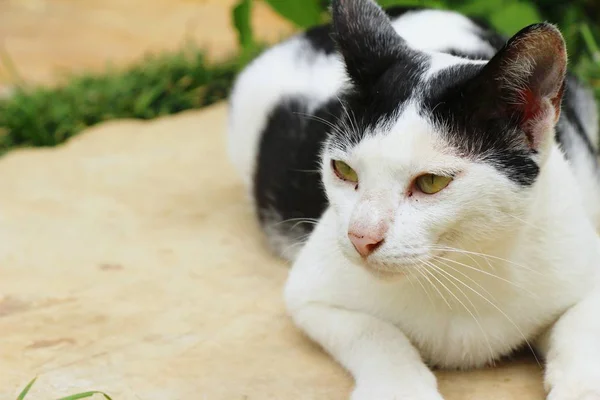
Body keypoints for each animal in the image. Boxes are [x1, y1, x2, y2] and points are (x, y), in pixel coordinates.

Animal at [226, 0, 600, 400]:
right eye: (344, 170)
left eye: (431, 182)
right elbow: (374, 331)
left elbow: (580, 323)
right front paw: (398, 387)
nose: (361, 237)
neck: (461, 272)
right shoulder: (310, 294)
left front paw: (580, 385)